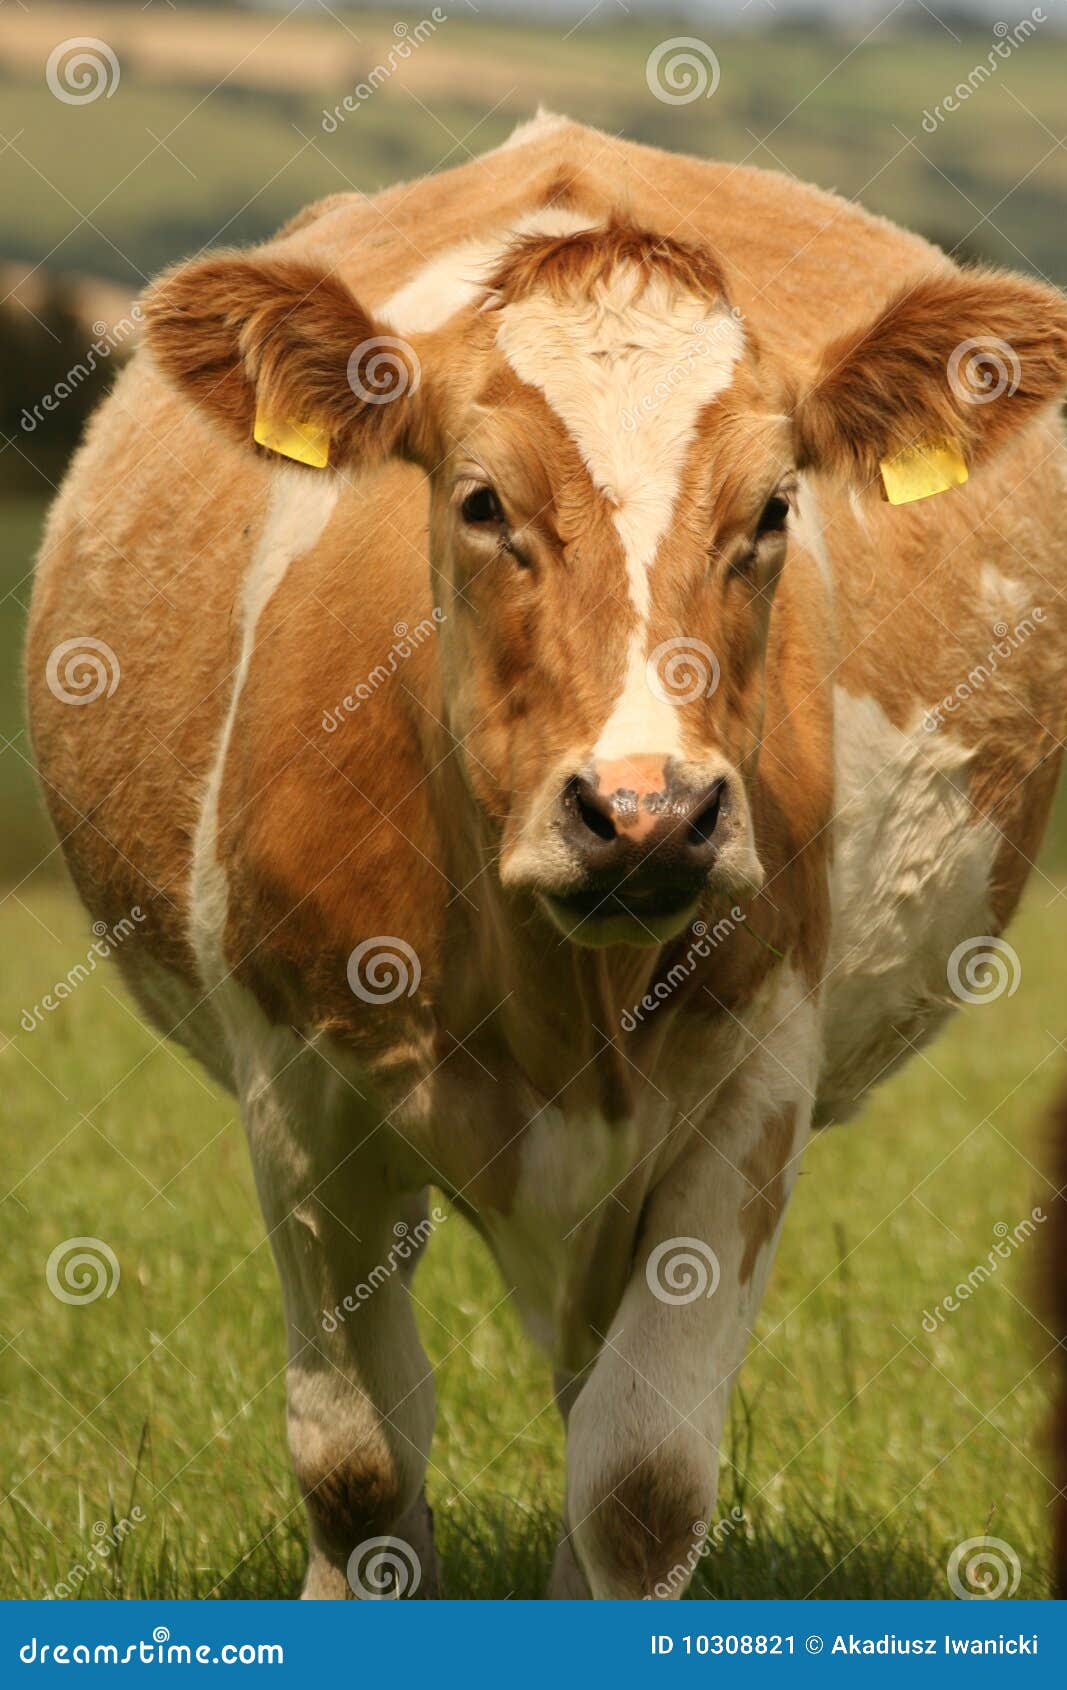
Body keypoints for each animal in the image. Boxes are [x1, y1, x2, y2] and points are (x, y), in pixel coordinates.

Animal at [25, 109, 1067, 1595]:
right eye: (478, 502)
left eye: (769, 509)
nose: (645, 811)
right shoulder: (295, 1090)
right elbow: (355, 1462)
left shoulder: (754, 1085)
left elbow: (637, 1481)